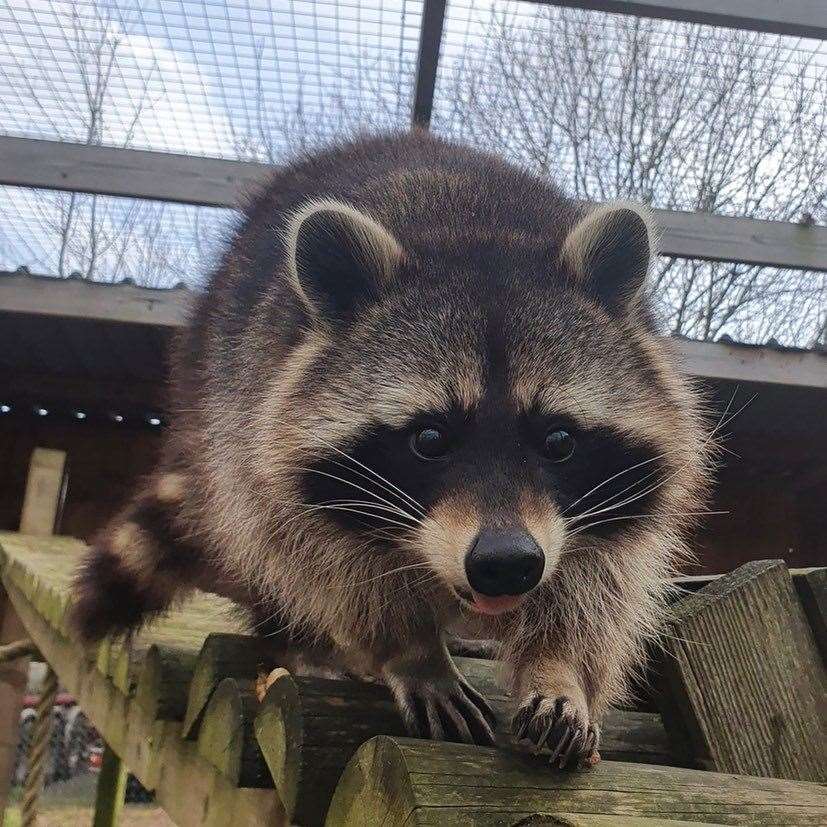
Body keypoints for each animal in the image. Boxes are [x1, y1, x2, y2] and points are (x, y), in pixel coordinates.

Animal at [73, 131, 712, 768]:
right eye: (428, 439)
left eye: (559, 440)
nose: (506, 563)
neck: (475, 229)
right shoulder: (265, 432)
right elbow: (334, 568)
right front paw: (413, 652)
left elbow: (598, 587)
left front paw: (559, 669)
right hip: (217, 399)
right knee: (259, 541)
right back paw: (297, 640)